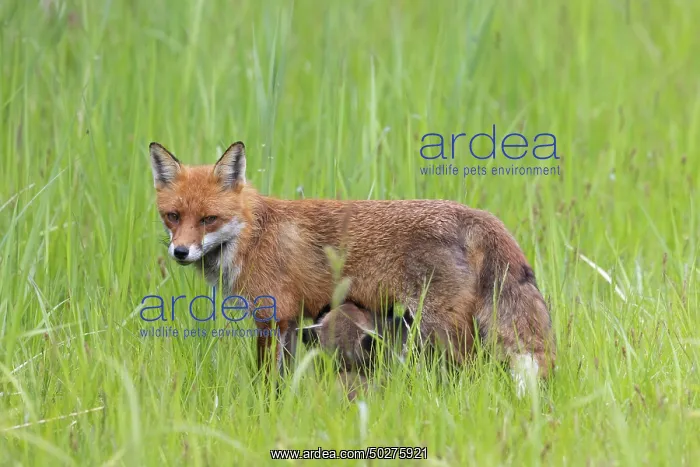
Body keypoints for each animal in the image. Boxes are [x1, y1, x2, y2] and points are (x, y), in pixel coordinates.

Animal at [149, 141, 555, 394]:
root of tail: (476, 214)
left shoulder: (271, 316)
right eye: (173, 216)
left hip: (438, 329)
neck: (253, 235)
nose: (180, 252)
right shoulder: (295, 321)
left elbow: (266, 381)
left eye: (208, 219)